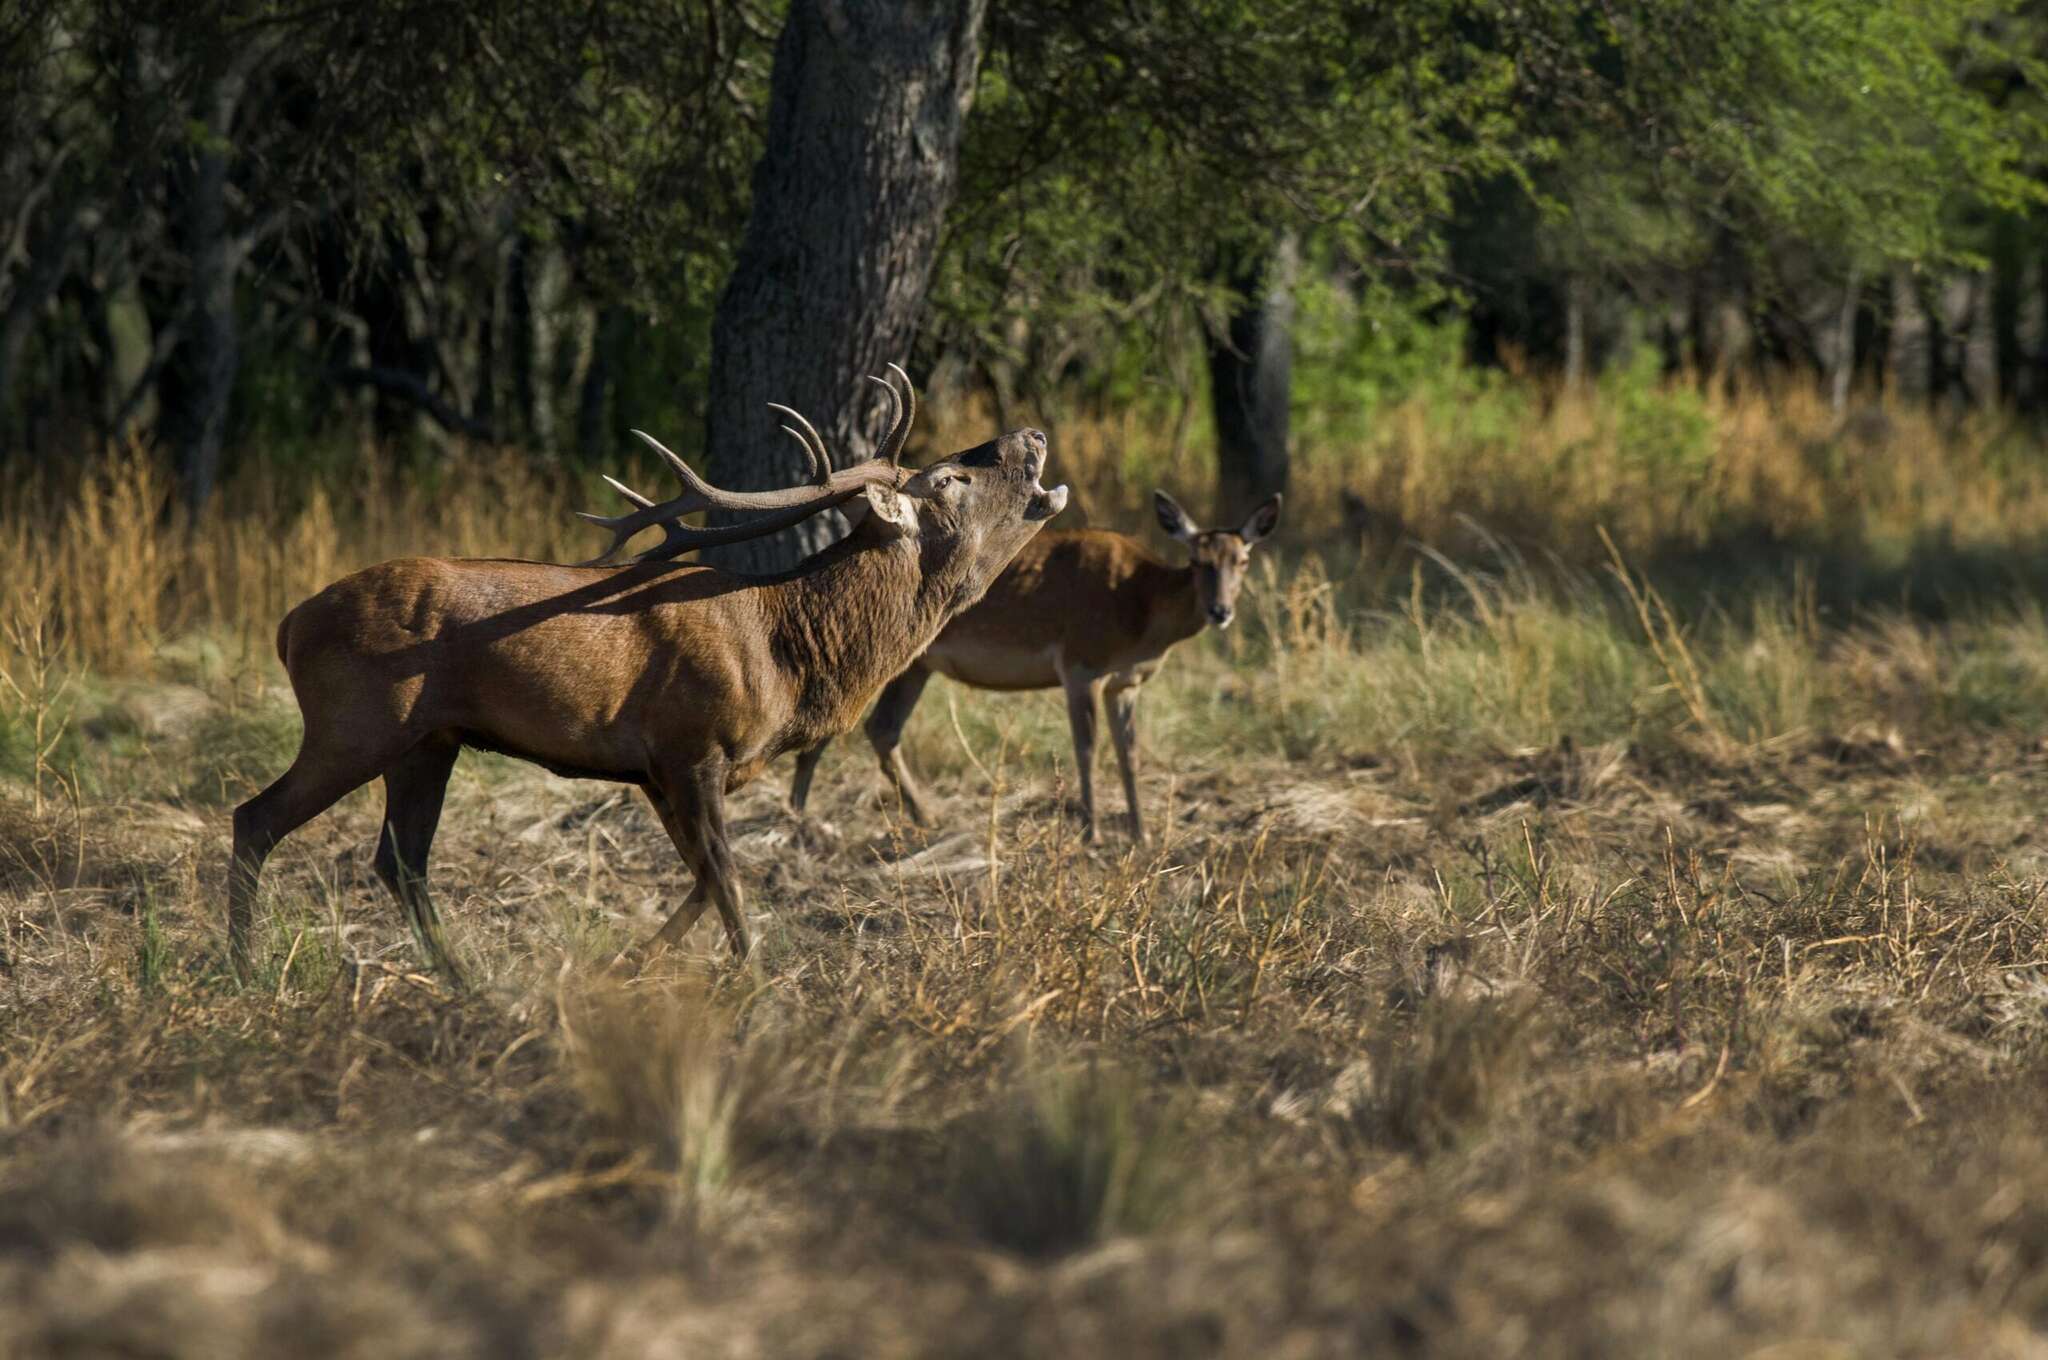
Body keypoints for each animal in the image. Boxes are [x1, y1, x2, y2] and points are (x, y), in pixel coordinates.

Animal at [227, 366, 1068, 981]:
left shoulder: (659, 770)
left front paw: (631, 963)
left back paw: (462, 980)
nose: (1032, 433)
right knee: (256, 817)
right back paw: (244, 968)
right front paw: (756, 982)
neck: (790, 659)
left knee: (400, 861)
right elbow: (726, 878)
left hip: (430, 741)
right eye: (949, 480)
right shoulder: (690, 745)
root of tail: (289, 623)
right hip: (355, 722)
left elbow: (700, 879)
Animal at [786, 490, 1281, 843]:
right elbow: (1087, 747)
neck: (1141, 619)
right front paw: (1091, 832)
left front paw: (1142, 835)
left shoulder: (1127, 683)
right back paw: (800, 822)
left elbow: (1130, 754)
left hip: (917, 666)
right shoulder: (1080, 663)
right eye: (1197, 561)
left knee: (882, 728)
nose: (1220, 611)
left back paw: (923, 818)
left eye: (1243, 560)